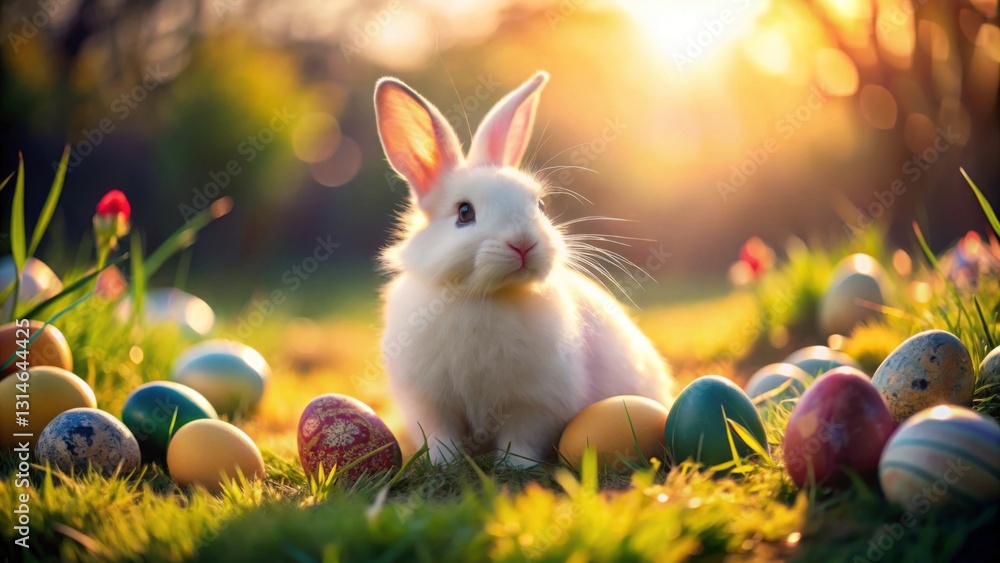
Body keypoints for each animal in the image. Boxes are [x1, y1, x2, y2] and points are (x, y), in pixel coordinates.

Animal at [374, 71, 674, 466]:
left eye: (540, 205)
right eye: (464, 212)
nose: (523, 243)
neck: (486, 296)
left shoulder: (535, 403)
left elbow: (523, 437)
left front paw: (516, 466)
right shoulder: (430, 403)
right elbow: (441, 436)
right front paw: (444, 464)